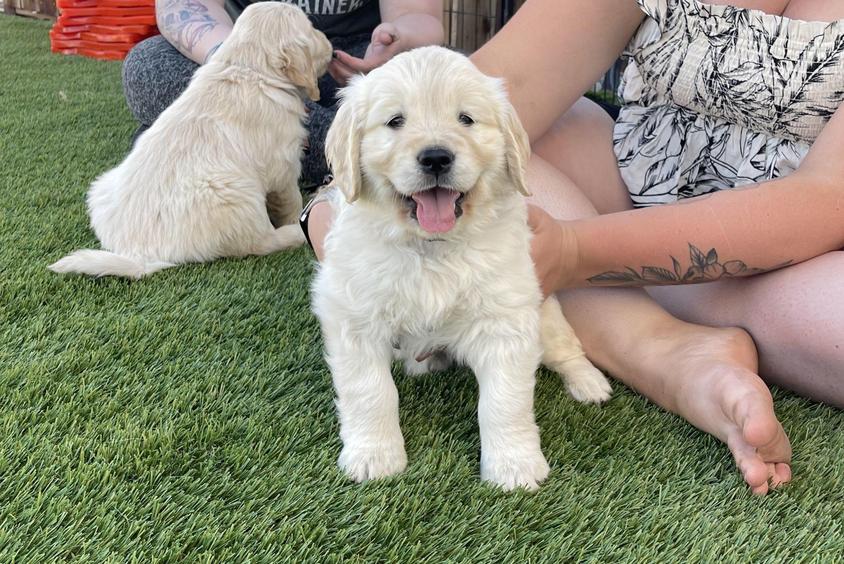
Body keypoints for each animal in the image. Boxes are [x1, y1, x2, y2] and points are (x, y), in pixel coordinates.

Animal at [47, 2, 332, 280]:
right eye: (311, 28)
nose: (331, 45)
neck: (246, 67)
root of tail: (137, 253)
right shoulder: (284, 164)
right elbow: (290, 199)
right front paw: (295, 218)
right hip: (236, 195)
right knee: (258, 242)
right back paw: (293, 235)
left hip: (101, 187)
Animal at [314, 46, 608, 492]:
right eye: (395, 121)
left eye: (466, 119)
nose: (436, 157)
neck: (432, 248)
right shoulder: (354, 316)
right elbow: (371, 391)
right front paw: (374, 456)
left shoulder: (506, 318)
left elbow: (504, 402)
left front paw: (514, 465)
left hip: (545, 313)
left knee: (566, 349)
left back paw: (589, 383)